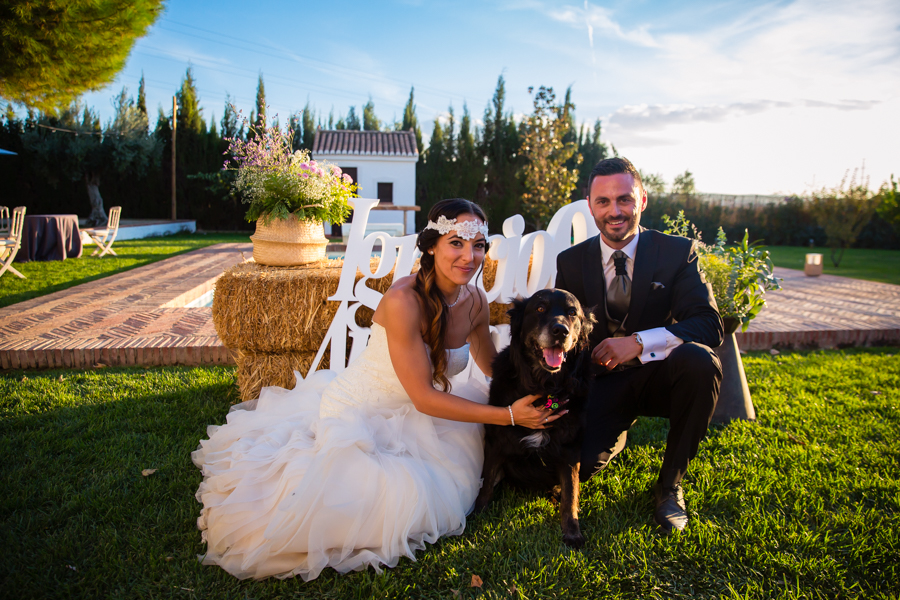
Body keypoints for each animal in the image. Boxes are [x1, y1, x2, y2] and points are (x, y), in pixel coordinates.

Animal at [474, 288, 596, 548]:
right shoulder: (496, 440)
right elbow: (486, 481)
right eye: (540, 308)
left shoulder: (570, 449)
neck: (545, 387)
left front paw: (572, 532)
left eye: (572, 313)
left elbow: (571, 493)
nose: (561, 331)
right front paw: (477, 513)